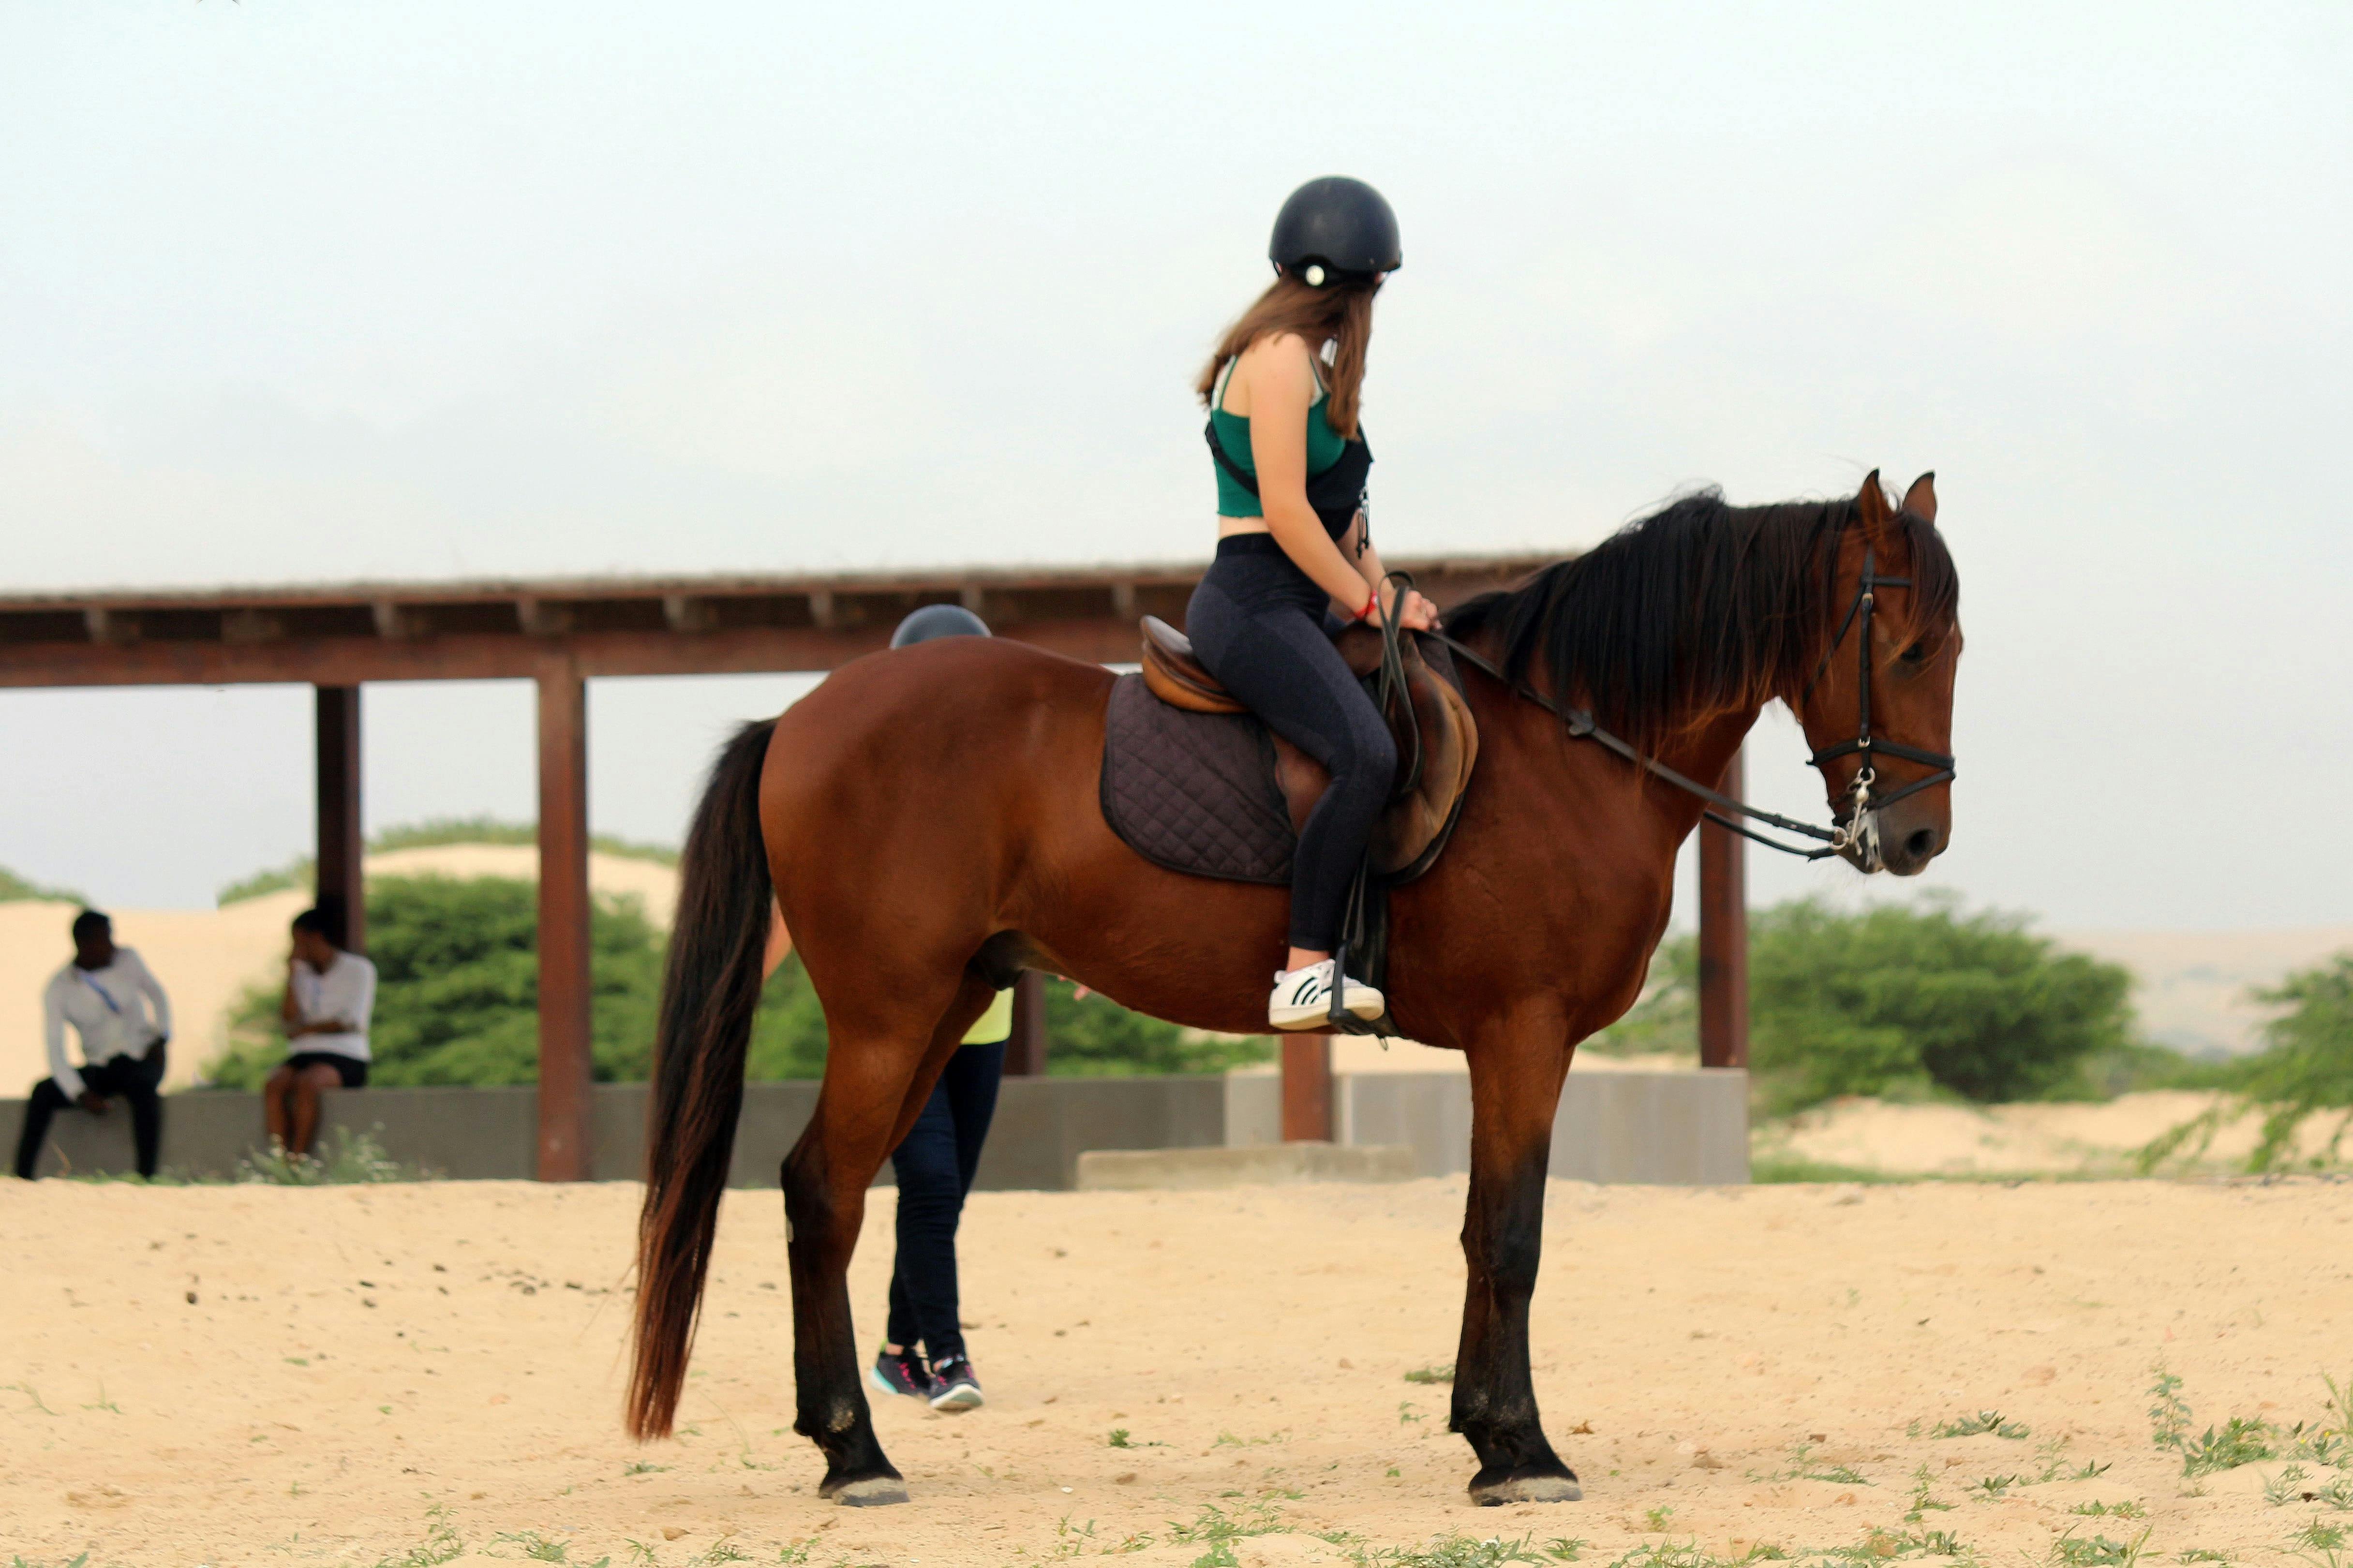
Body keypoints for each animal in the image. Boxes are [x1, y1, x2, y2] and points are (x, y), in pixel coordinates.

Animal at [616, 470, 1957, 1504]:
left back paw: (842, 1440)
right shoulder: (1521, 1035)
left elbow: (1482, 1229)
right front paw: (1519, 1450)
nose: (1914, 839)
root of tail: (798, 718)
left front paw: (1483, 1434)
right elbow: (1506, 1234)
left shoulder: (1511, 1042)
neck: (1567, 749)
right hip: (889, 1017)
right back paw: (855, 1455)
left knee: (830, 1192)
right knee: (822, 1196)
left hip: (943, 1006)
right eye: (1904, 649)